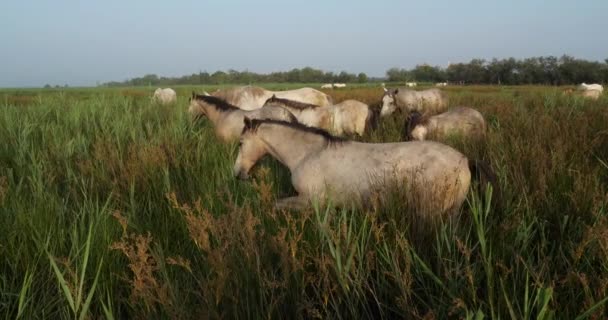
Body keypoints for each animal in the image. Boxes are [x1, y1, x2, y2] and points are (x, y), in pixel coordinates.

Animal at [234, 117, 498, 215]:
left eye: (240, 143)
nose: (238, 174)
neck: (308, 154)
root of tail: (464, 159)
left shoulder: (310, 200)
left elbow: (276, 204)